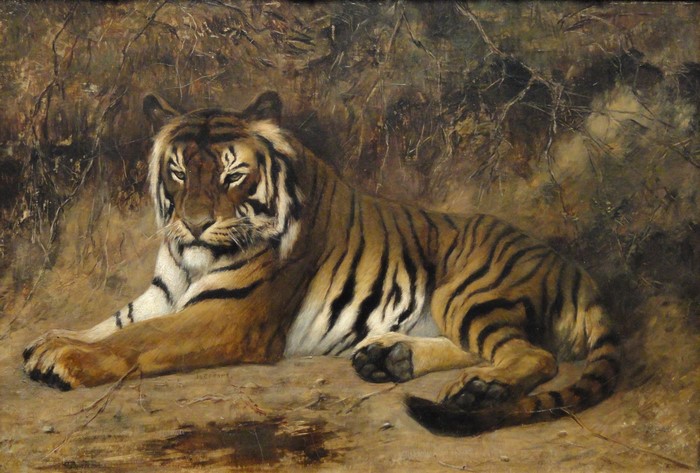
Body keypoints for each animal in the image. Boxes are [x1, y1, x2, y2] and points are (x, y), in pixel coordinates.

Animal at [22, 91, 621, 436]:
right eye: (178, 172)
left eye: (232, 174)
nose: (192, 225)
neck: (190, 262)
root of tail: (575, 268)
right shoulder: (162, 295)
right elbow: (112, 322)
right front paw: (47, 342)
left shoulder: (230, 317)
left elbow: (137, 340)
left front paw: (65, 361)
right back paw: (391, 357)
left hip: (466, 290)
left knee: (534, 354)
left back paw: (482, 388)